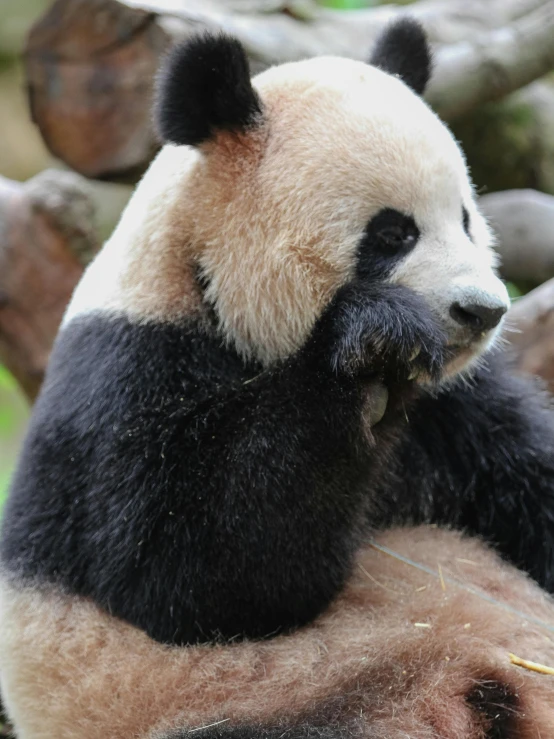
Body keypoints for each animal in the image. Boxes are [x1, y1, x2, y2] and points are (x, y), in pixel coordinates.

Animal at [1, 15, 552, 739]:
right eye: (392, 233)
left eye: (465, 217)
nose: (483, 310)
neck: (202, 279)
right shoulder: (121, 379)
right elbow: (192, 572)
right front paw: (373, 352)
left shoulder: (458, 409)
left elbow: (526, 479)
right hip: (256, 706)